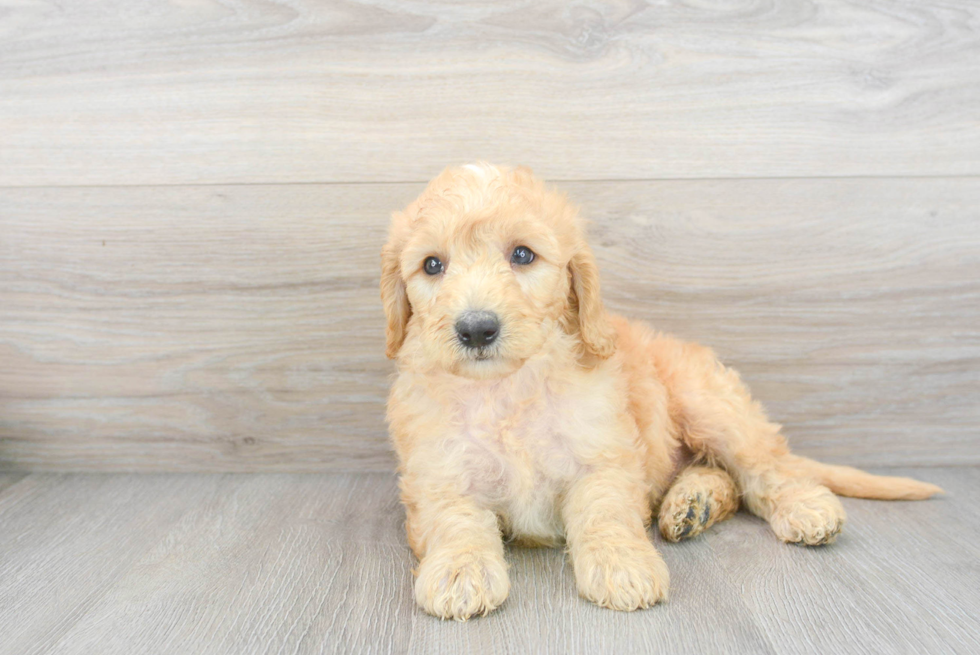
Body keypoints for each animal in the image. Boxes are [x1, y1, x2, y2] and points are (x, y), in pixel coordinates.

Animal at [380, 163, 940, 620]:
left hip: (710, 404)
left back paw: (800, 507)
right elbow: (455, 522)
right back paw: (694, 505)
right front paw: (460, 571)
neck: (506, 389)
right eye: (432, 265)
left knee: (765, 468)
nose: (476, 329)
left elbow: (605, 513)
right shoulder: (438, 473)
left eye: (522, 255)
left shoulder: (603, 456)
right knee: (725, 479)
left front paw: (621, 565)